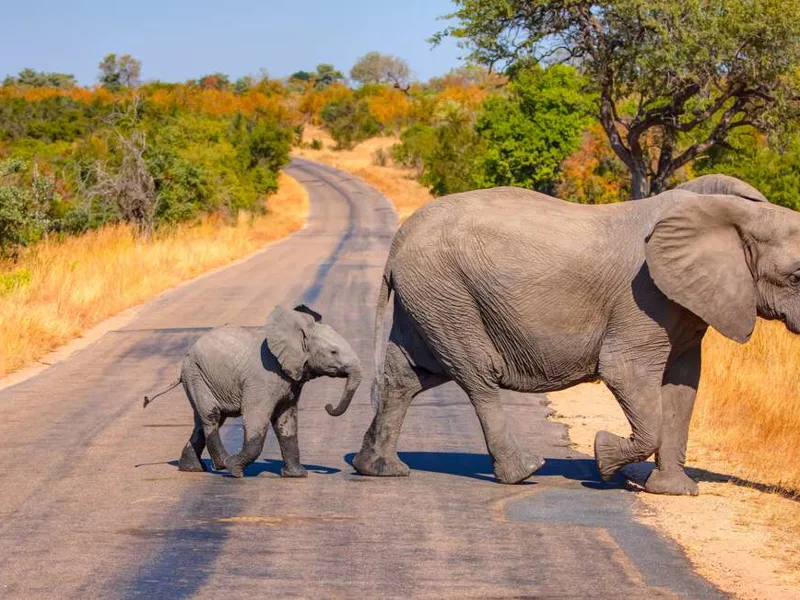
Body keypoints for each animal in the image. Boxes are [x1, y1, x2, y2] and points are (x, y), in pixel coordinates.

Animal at [144, 304, 362, 478]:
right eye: (333, 352)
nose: (328, 406)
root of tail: (185, 358)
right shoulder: (262, 379)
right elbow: (257, 418)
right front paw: (235, 470)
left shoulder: (290, 381)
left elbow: (286, 421)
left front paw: (297, 475)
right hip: (196, 374)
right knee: (211, 417)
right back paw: (222, 464)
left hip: (201, 378)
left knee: (202, 420)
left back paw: (191, 468)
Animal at [352, 175, 800, 495]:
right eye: (796, 276)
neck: (736, 215)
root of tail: (398, 242)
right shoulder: (645, 300)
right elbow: (625, 372)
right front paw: (604, 457)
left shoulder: (686, 307)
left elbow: (683, 386)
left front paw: (675, 492)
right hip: (447, 295)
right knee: (477, 375)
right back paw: (524, 471)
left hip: (428, 300)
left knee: (406, 376)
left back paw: (379, 470)